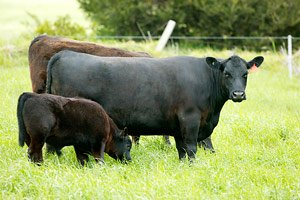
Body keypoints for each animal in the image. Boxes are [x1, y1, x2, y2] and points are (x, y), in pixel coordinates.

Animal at [46, 50, 262, 161]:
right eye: (226, 73)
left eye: (245, 74)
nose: (238, 94)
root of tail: (65, 54)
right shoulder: (190, 120)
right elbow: (191, 148)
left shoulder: (178, 126)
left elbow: (181, 150)